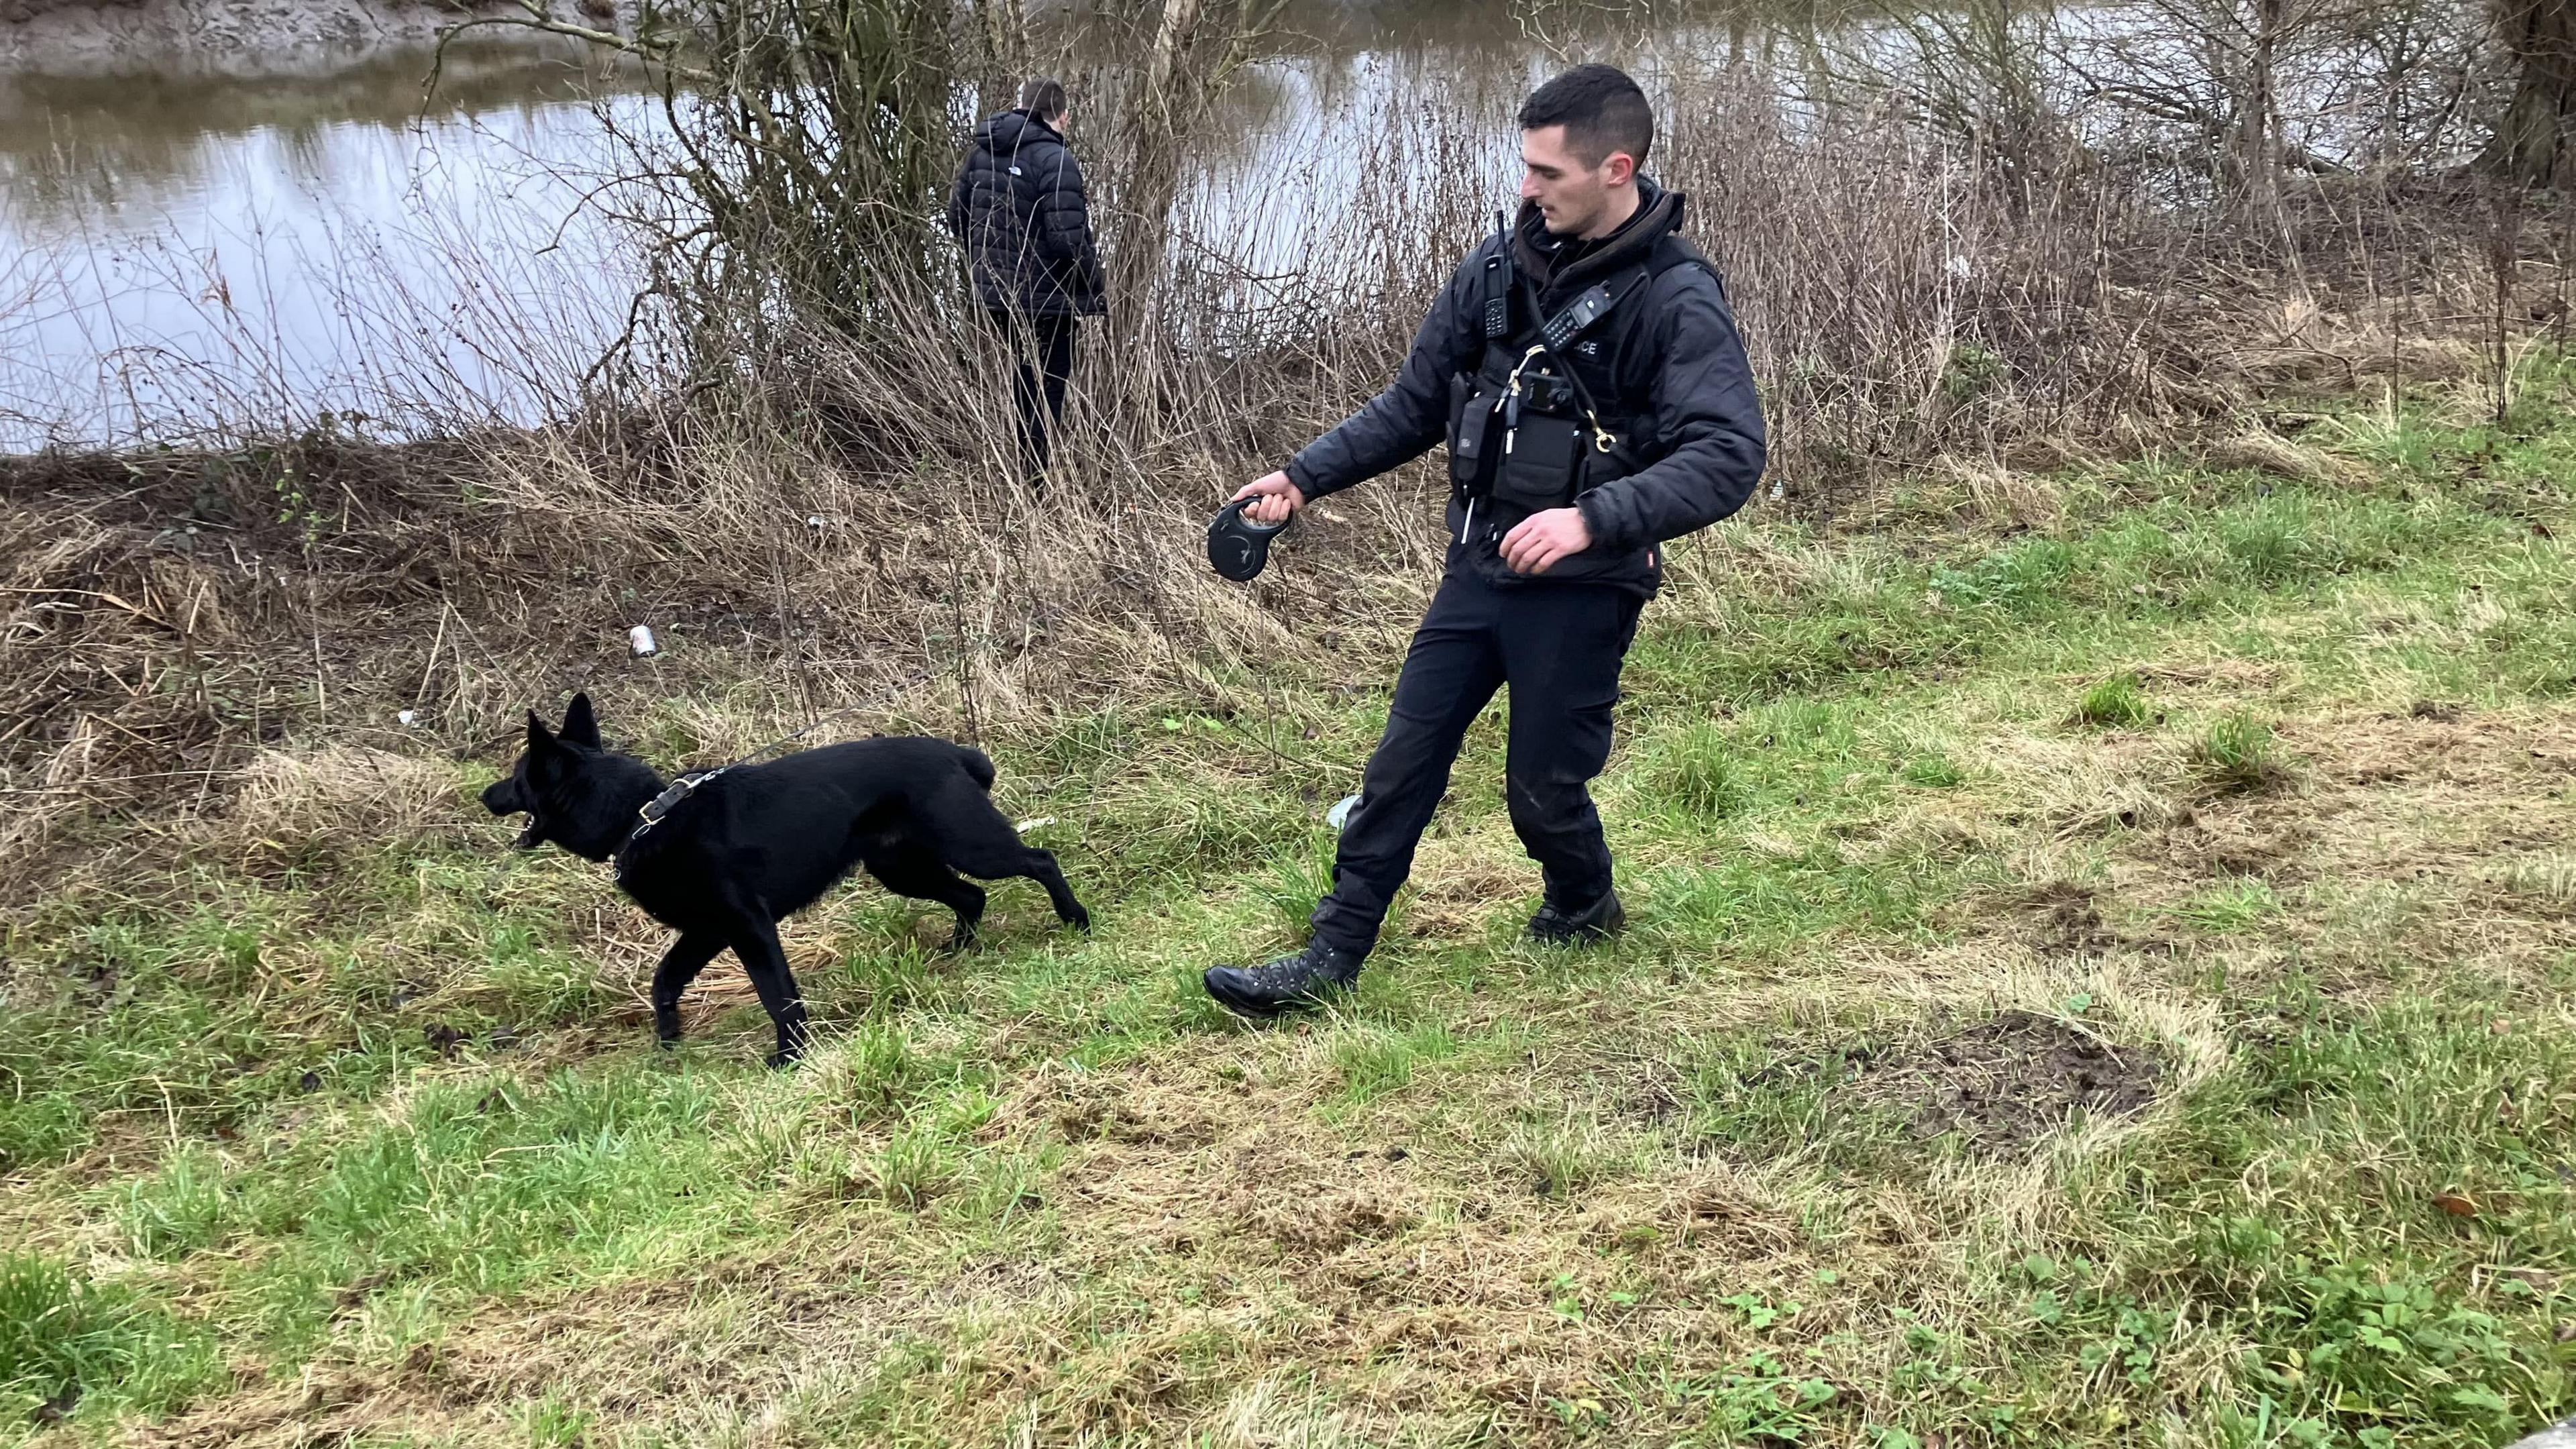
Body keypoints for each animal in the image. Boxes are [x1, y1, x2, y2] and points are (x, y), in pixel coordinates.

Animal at [484, 691, 1087, 1062]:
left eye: (517, 778)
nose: (484, 796)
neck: (641, 816)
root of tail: (954, 753)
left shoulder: (747, 927)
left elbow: (778, 995)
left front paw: (790, 1056)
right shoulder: (707, 931)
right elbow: (664, 981)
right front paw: (669, 1040)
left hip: (970, 844)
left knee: (1038, 862)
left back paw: (1075, 920)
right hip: (902, 870)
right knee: (972, 895)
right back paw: (959, 951)